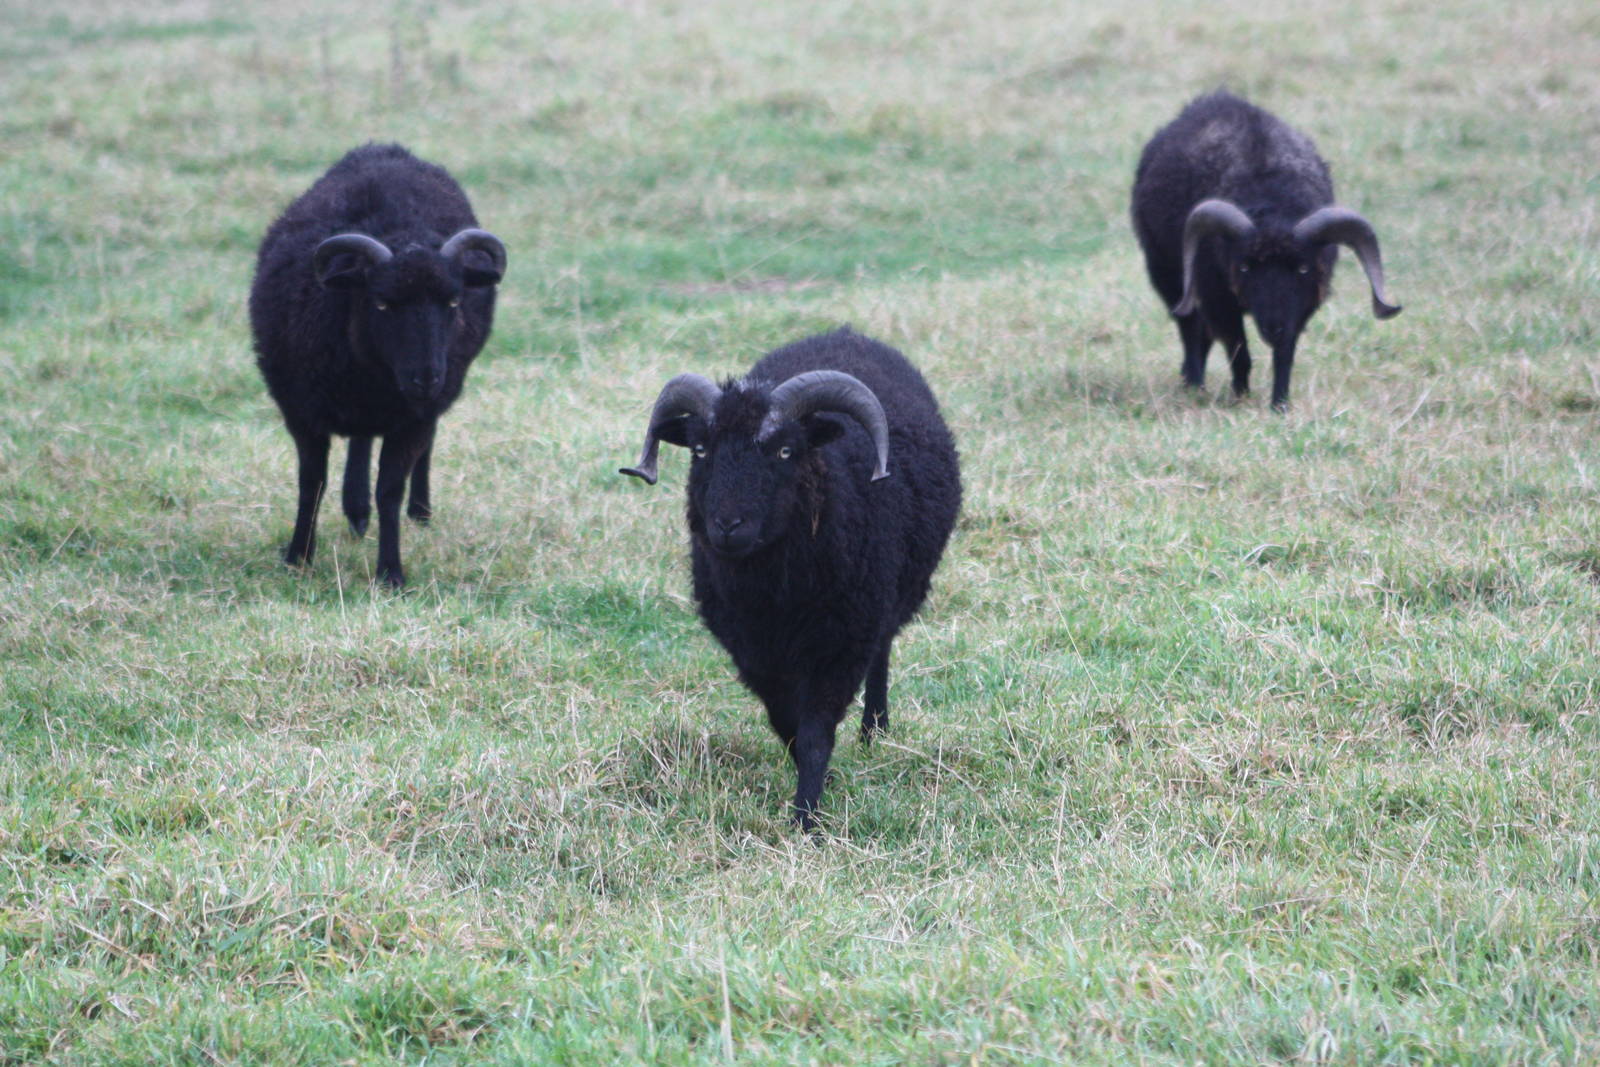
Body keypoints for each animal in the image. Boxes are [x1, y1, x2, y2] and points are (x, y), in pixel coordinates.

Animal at [249, 143, 506, 587]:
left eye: (453, 301)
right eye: (383, 303)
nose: (426, 378)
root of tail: (388, 150)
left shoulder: (414, 417)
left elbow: (390, 490)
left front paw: (391, 573)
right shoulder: (300, 410)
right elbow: (311, 482)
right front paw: (298, 557)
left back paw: (418, 512)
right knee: (361, 439)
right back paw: (356, 512)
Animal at [621, 328, 962, 830]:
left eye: (785, 450)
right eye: (701, 450)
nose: (728, 525)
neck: (775, 598)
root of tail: (844, 333)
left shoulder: (842, 643)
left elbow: (817, 731)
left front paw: (807, 819)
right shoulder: (753, 652)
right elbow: (786, 724)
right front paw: (820, 783)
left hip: (887, 598)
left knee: (882, 655)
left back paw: (874, 731)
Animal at [1131, 90, 1401, 409]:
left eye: (1303, 268)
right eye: (1245, 267)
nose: (1273, 326)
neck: (1271, 196)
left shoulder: (1301, 305)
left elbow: (1284, 355)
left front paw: (1279, 405)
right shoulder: (1218, 298)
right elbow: (1239, 352)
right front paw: (1240, 397)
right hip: (1168, 273)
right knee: (1189, 326)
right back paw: (1194, 384)